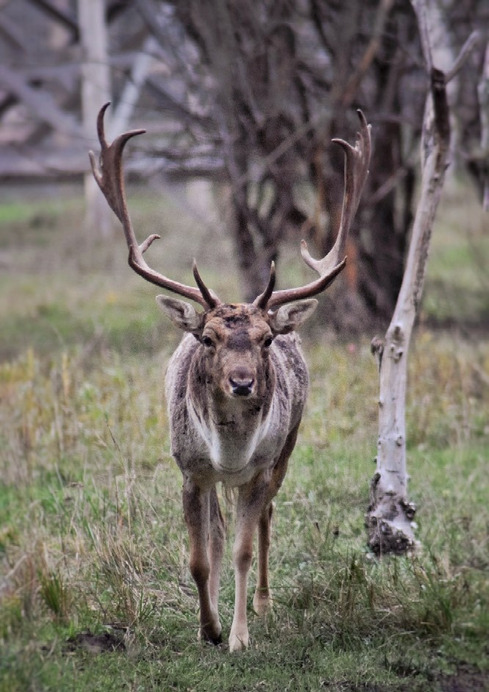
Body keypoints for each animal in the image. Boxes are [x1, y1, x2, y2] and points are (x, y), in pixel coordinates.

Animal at [88, 105, 370, 652]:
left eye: (264, 340)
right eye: (208, 338)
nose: (241, 383)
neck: (229, 453)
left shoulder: (259, 468)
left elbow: (242, 548)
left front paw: (238, 636)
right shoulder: (190, 469)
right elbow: (201, 557)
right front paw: (208, 627)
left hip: (286, 447)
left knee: (265, 518)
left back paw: (262, 602)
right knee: (219, 534)